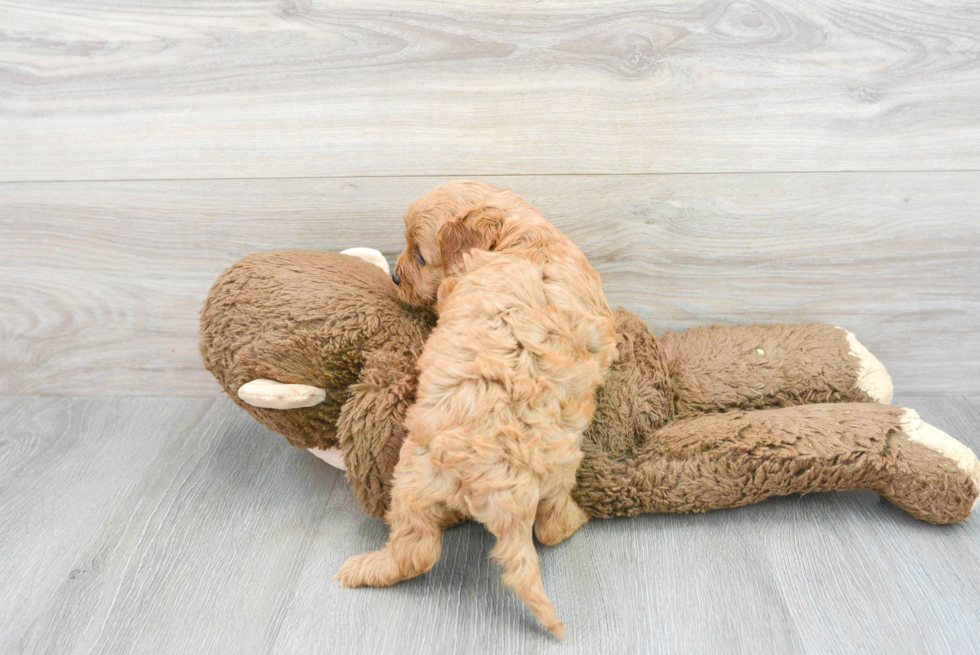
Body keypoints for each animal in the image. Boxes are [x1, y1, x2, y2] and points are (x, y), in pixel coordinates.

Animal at [334, 182, 616, 640]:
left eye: (419, 255)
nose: (394, 276)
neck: (524, 239)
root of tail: (506, 494)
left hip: (411, 477)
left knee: (417, 549)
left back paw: (365, 568)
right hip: (562, 468)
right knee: (551, 528)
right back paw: (578, 516)